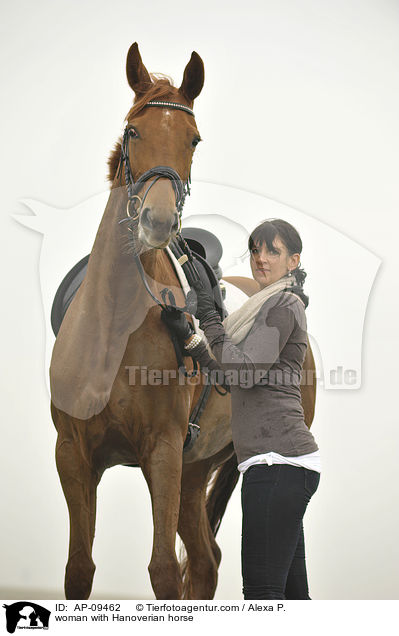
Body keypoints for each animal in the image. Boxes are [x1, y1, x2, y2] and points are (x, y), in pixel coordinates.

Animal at [50, 42, 318, 600]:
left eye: (192, 139)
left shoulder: (164, 452)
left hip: (194, 467)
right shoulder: (73, 456)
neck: (112, 327)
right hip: (197, 474)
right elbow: (79, 570)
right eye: (134, 131)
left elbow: (163, 573)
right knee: (206, 560)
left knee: (202, 564)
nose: (155, 221)